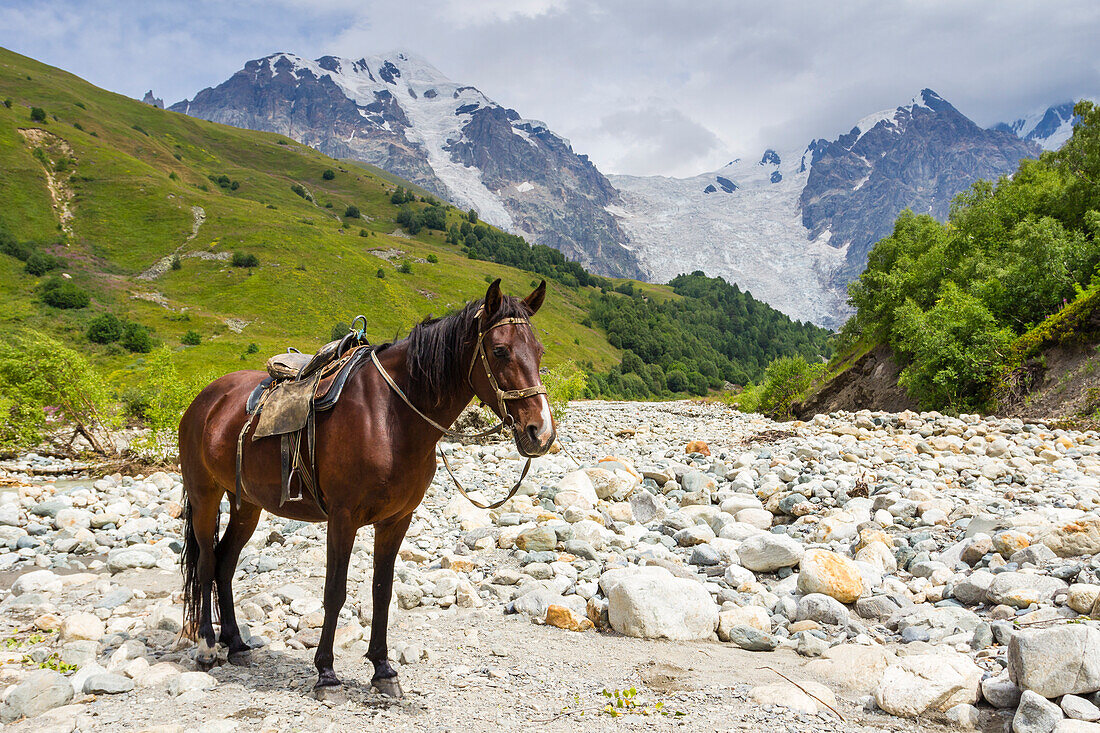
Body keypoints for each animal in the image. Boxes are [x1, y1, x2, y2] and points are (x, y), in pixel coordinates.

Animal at [182, 279, 558, 695]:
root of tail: (206, 399)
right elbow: (334, 591)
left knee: (225, 563)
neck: (389, 415)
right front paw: (326, 673)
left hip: (246, 504)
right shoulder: (342, 518)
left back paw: (235, 643)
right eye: (500, 350)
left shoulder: (396, 520)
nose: (540, 432)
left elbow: (382, 590)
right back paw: (206, 646)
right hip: (204, 495)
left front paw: (383, 669)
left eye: (538, 351)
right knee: (206, 562)